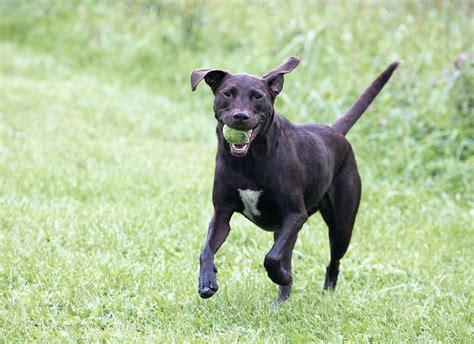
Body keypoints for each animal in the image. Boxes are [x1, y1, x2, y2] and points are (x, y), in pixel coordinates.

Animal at [191, 56, 398, 304]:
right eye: (227, 93)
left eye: (258, 96)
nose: (240, 116)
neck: (249, 161)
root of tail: (336, 132)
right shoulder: (222, 213)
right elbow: (206, 250)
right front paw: (207, 281)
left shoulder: (295, 215)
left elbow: (271, 258)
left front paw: (281, 276)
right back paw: (281, 300)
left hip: (341, 226)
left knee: (333, 261)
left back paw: (324, 292)